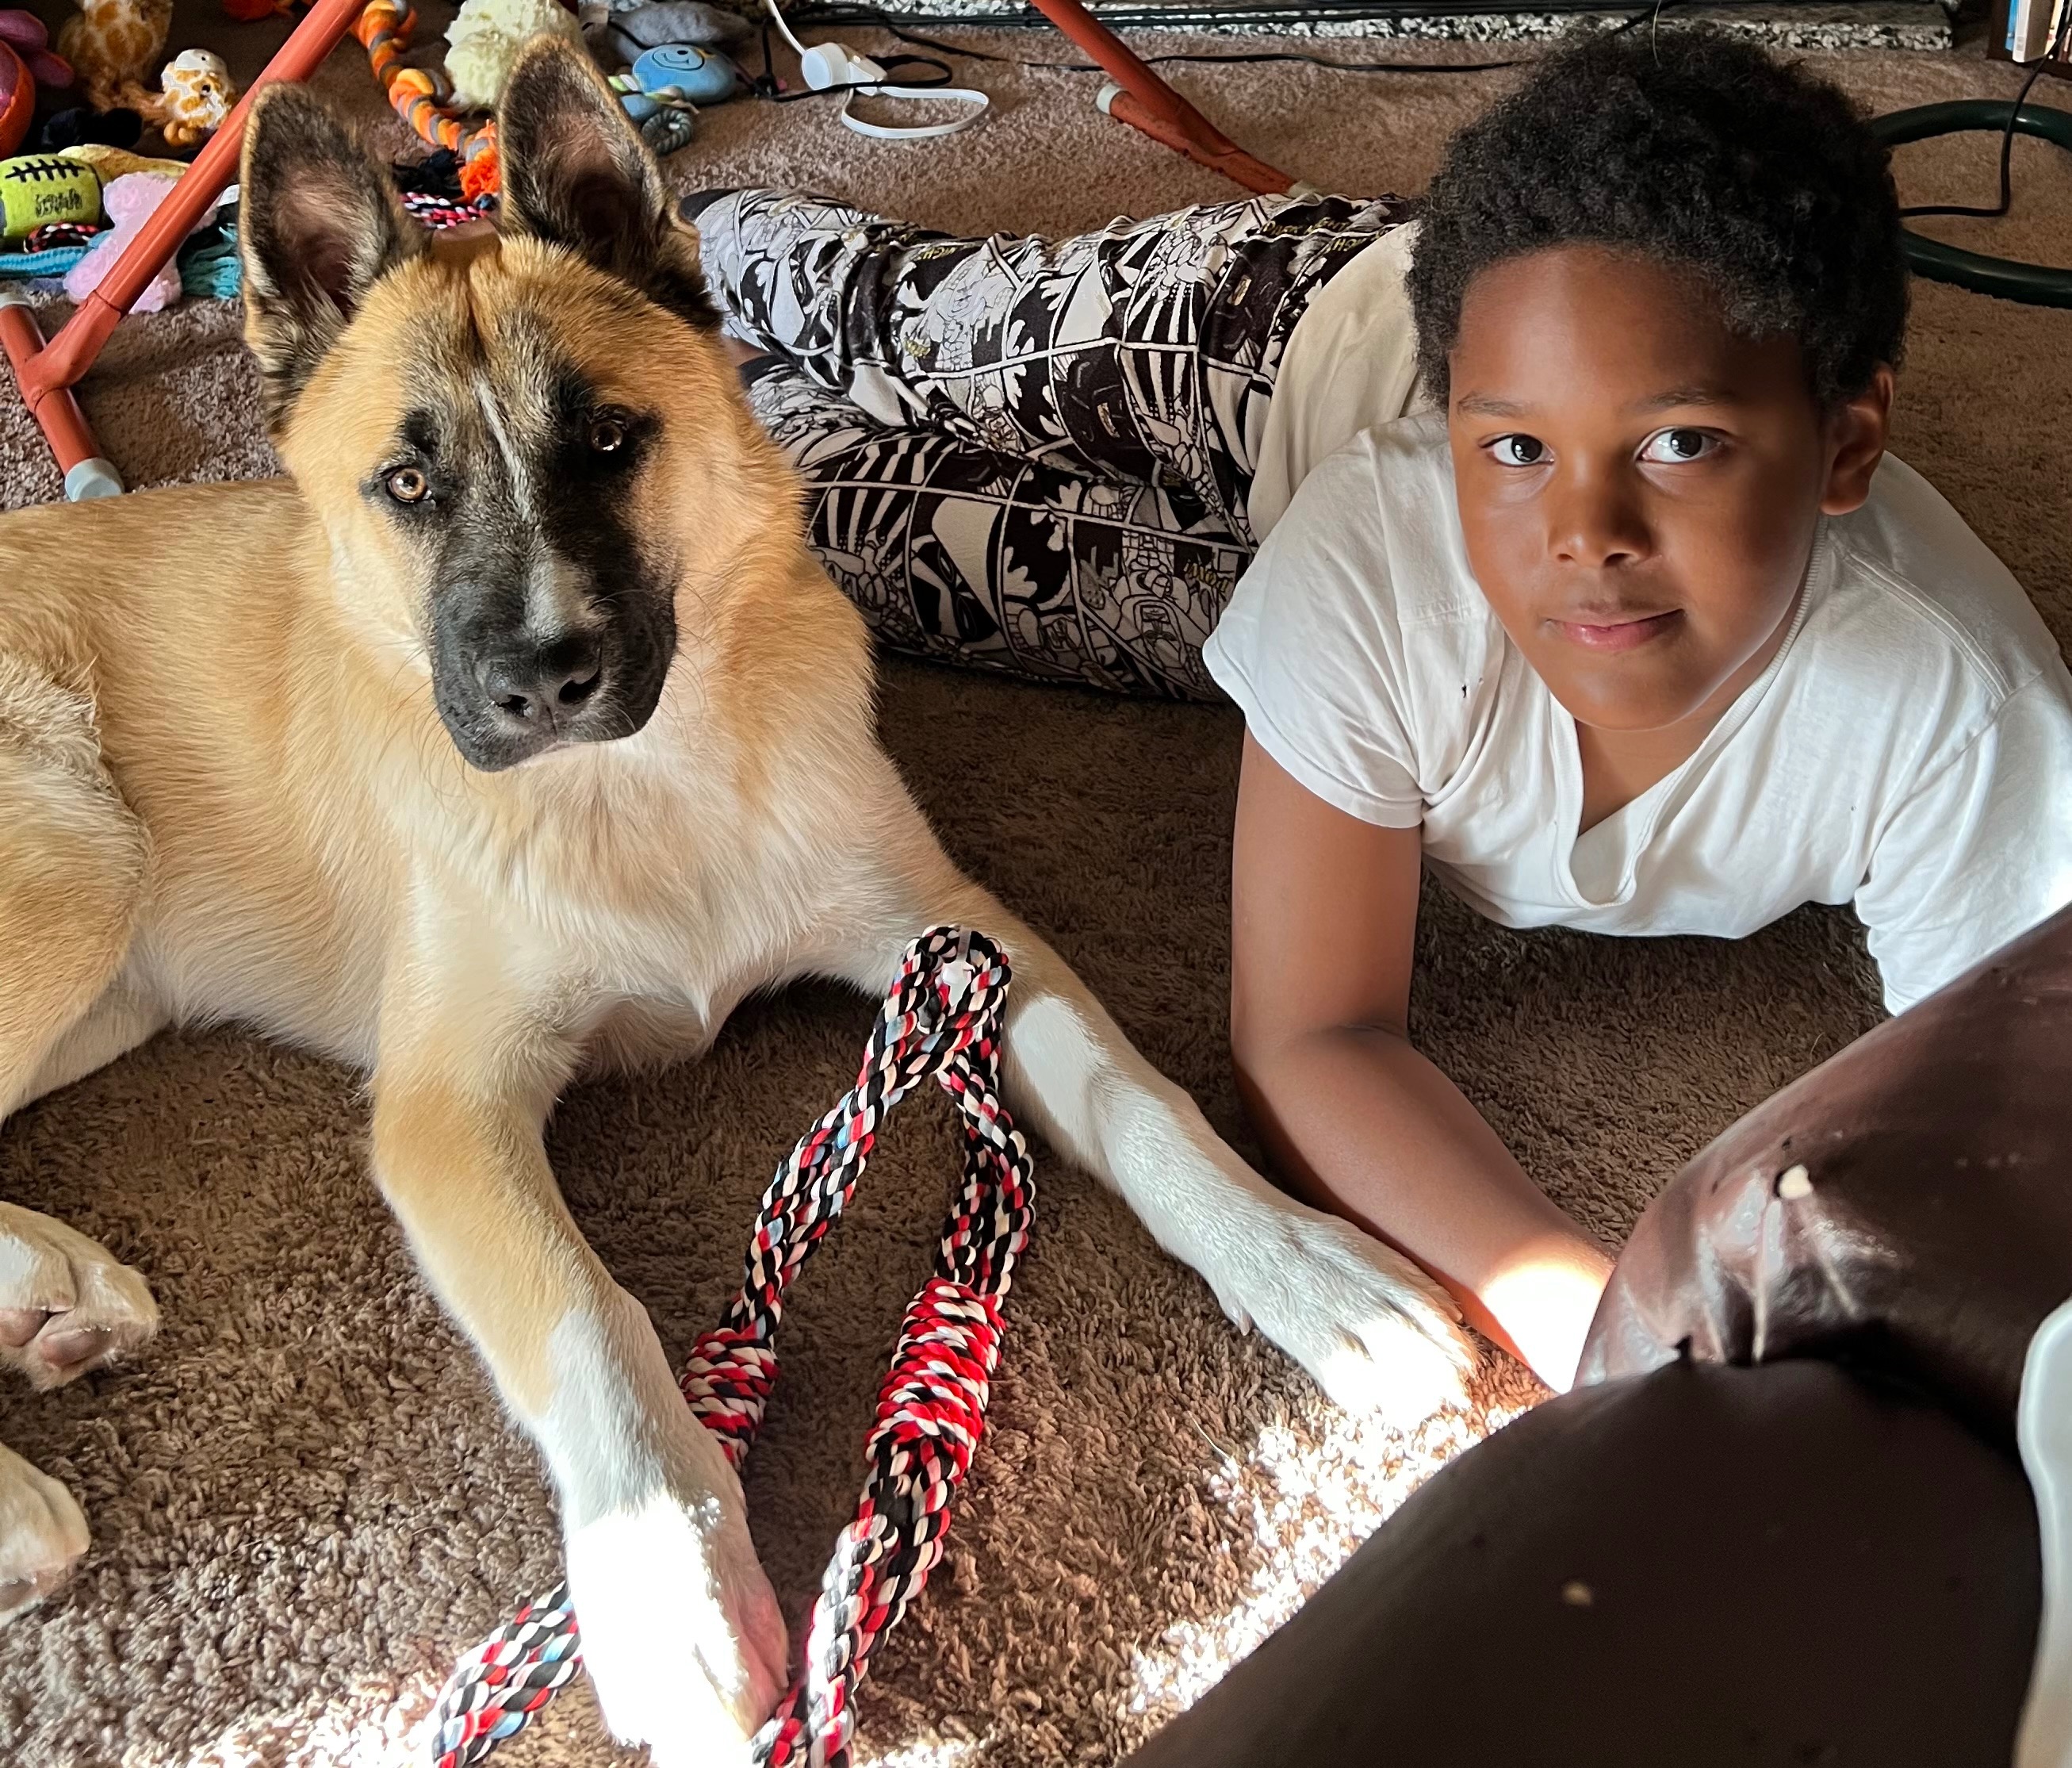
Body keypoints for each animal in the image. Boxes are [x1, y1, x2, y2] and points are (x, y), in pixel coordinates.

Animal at [0, 40, 1471, 1760]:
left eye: (607, 440)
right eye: (408, 482)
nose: (541, 683)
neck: (640, 784)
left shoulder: (945, 929)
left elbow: (1138, 1101)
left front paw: (1309, 1272)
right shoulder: (442, 1106)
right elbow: (586, 1311)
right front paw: (674, 1582)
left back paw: (49, 1295)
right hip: (77, 858)